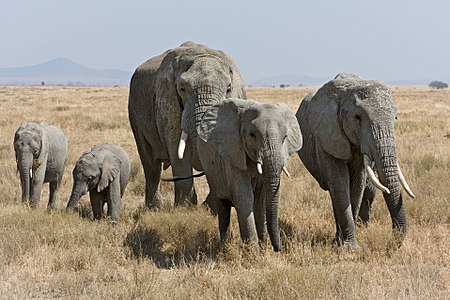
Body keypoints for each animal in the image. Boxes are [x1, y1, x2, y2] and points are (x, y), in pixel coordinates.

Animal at [126, 40, 246, 209]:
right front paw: (186, 208)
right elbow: (176, 146)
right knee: (150, 164)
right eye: (182, 89)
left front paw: (210, 207)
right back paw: (154, 208)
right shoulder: (167, 101)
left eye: (228, 89)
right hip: (134, 111)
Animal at [197, 99, 302, 253]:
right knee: (223, 206)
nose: (279, 249)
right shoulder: (234, 154)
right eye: (252, 135)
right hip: (212, 172)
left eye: (285, 138)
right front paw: (253, 253)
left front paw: (263, 247)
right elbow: (244, 197)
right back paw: (224, 246)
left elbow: (260, 200)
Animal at [296, 74, 414, 250]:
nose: (391, 244)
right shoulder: (326, 137)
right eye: (358, 117)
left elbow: (357, 185)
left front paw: (343, 244)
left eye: (395, 117)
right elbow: (340, 183)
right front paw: (350, 249)